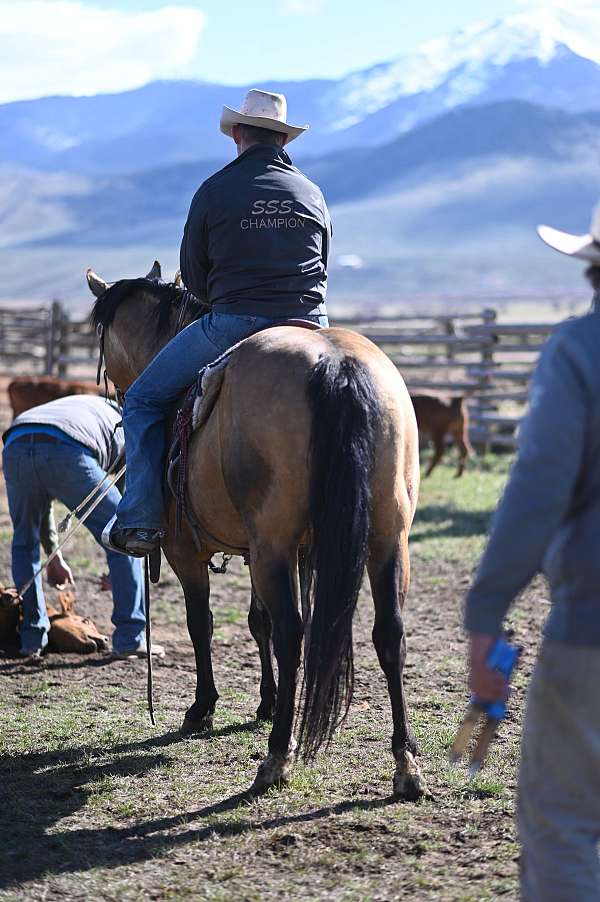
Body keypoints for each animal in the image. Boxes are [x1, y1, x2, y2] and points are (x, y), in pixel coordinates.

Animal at [86, 263, 426, 799]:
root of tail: (336, 366)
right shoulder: (272, 551)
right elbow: (256, 620)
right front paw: (266, 702)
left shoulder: (190, 552)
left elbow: (202, 623)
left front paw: (202, 708)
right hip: (386, 540)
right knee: (388, 633)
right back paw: (405, 765)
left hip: (276, 544)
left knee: (292, 633)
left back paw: (277, 757)